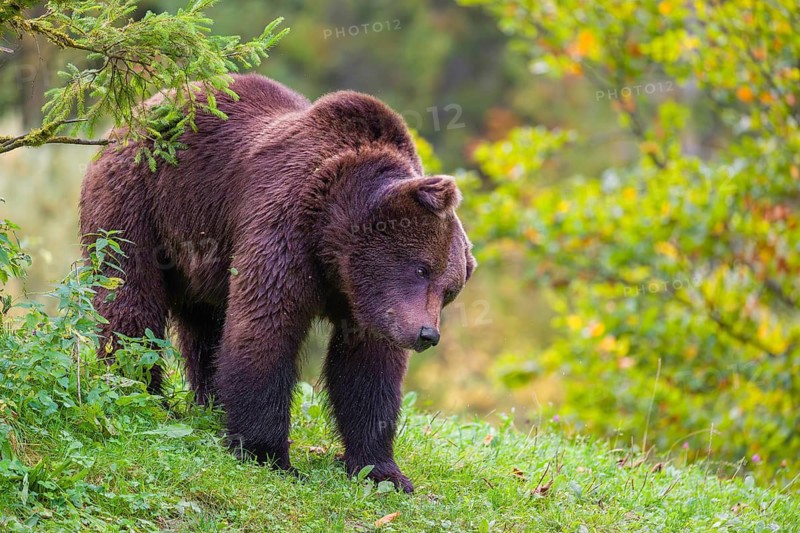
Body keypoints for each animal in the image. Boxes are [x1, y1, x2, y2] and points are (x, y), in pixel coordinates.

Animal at [79, 74, 476, 492]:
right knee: (130, 299)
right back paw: (141, 392)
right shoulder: (284, 227)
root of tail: (134, 113)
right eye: (422, 269)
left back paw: (210, 404)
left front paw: (383, 470)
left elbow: (366, 369)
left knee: (205, 326)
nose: (427, 334)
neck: (332, 244)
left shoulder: (366, 305)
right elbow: (265, 328)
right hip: (142, 202)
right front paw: (268, 454)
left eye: (449, 290)